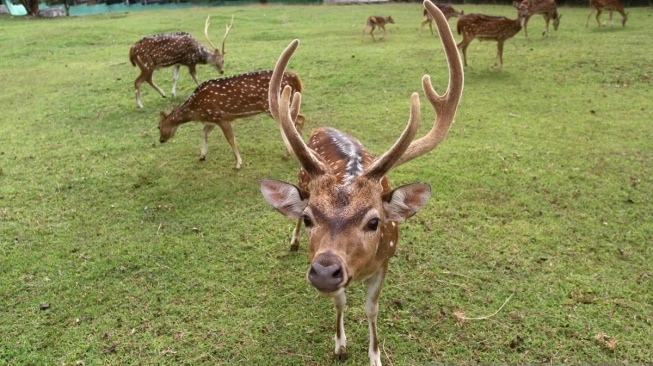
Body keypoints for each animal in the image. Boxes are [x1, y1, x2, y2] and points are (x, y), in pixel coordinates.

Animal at [158, 70, 304, 169]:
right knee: (301, 118)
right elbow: (204, 133)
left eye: (158, 126)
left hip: (274, 106)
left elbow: (230, 139)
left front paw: (238, 163)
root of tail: (295, 78)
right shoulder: (212, 119)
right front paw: (202, 156)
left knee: (296, 120)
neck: (196, 110)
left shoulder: (221, 117)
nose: (160, 140)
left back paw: (289, 153)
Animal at [260, 1, 464, 364]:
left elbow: (372, 309)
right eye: (310, 217)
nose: (324, 271)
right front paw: (340, 345)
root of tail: (320, 126)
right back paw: (294, 242)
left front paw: (375, 355)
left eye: (375, 222)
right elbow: (340, 302)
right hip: (299, 179)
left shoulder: (385, 262)